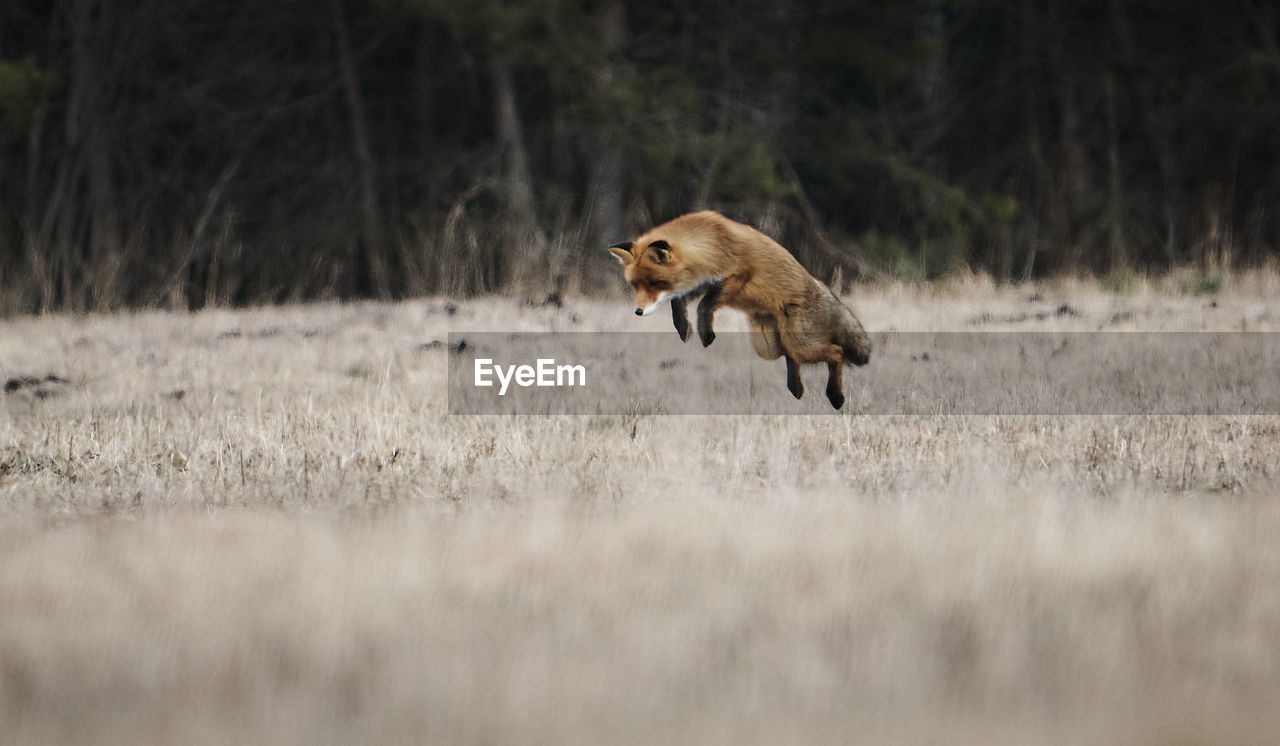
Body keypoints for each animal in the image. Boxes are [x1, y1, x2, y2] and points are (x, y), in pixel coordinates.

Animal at [606, 208, 870, 409]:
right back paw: (796, 388)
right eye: (635, 285)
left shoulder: (737, 278)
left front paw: (706, 334)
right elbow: (677, 302)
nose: (638, 312)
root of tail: (820, 285)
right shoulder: (702, 281)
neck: (713, 243)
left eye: (655, 283)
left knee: (835, 352)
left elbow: (704, 305)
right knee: (790, 356)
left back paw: (835, 396)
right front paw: (683, 327)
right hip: (767, 346)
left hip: (801, 342)